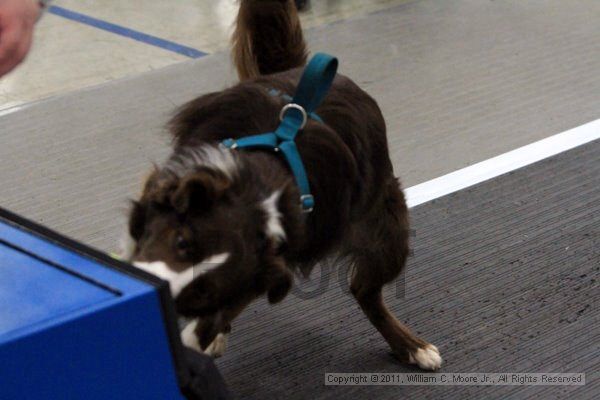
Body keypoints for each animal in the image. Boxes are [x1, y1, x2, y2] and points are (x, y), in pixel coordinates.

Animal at [123, 0, 440, 368]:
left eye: (207, 290)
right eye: (180, 242)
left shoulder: (268, 266)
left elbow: (232, 304)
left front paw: (198, 338)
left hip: (387, 232)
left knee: (365, 291)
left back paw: (412, 346)